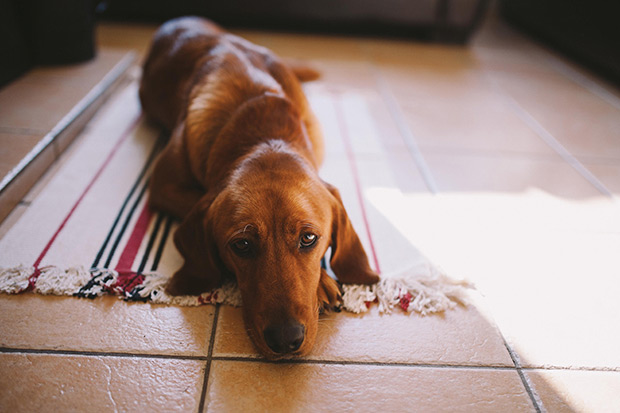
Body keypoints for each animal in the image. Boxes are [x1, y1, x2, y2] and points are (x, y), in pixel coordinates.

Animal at [139, 16, 378, 358]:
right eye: (241, 245)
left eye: (309, 238)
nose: (286, 340)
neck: (263, 133)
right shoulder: (162, 185)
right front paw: (323, 283)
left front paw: (323, 281)